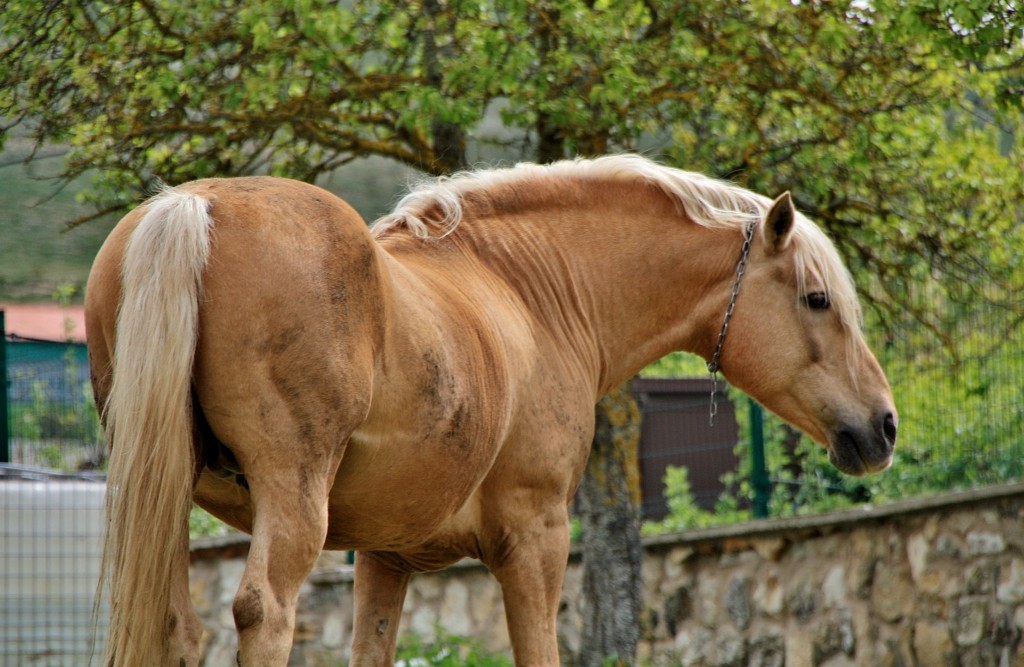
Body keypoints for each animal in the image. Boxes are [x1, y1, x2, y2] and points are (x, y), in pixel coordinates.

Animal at [86, 153, 897, 663]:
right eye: (817, 299)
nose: (884, 425)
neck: (531, 289)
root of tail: (196, 206)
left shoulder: (384, 557)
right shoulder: (537, 540)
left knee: (170, 625)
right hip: (292, 504)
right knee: (264, 612)